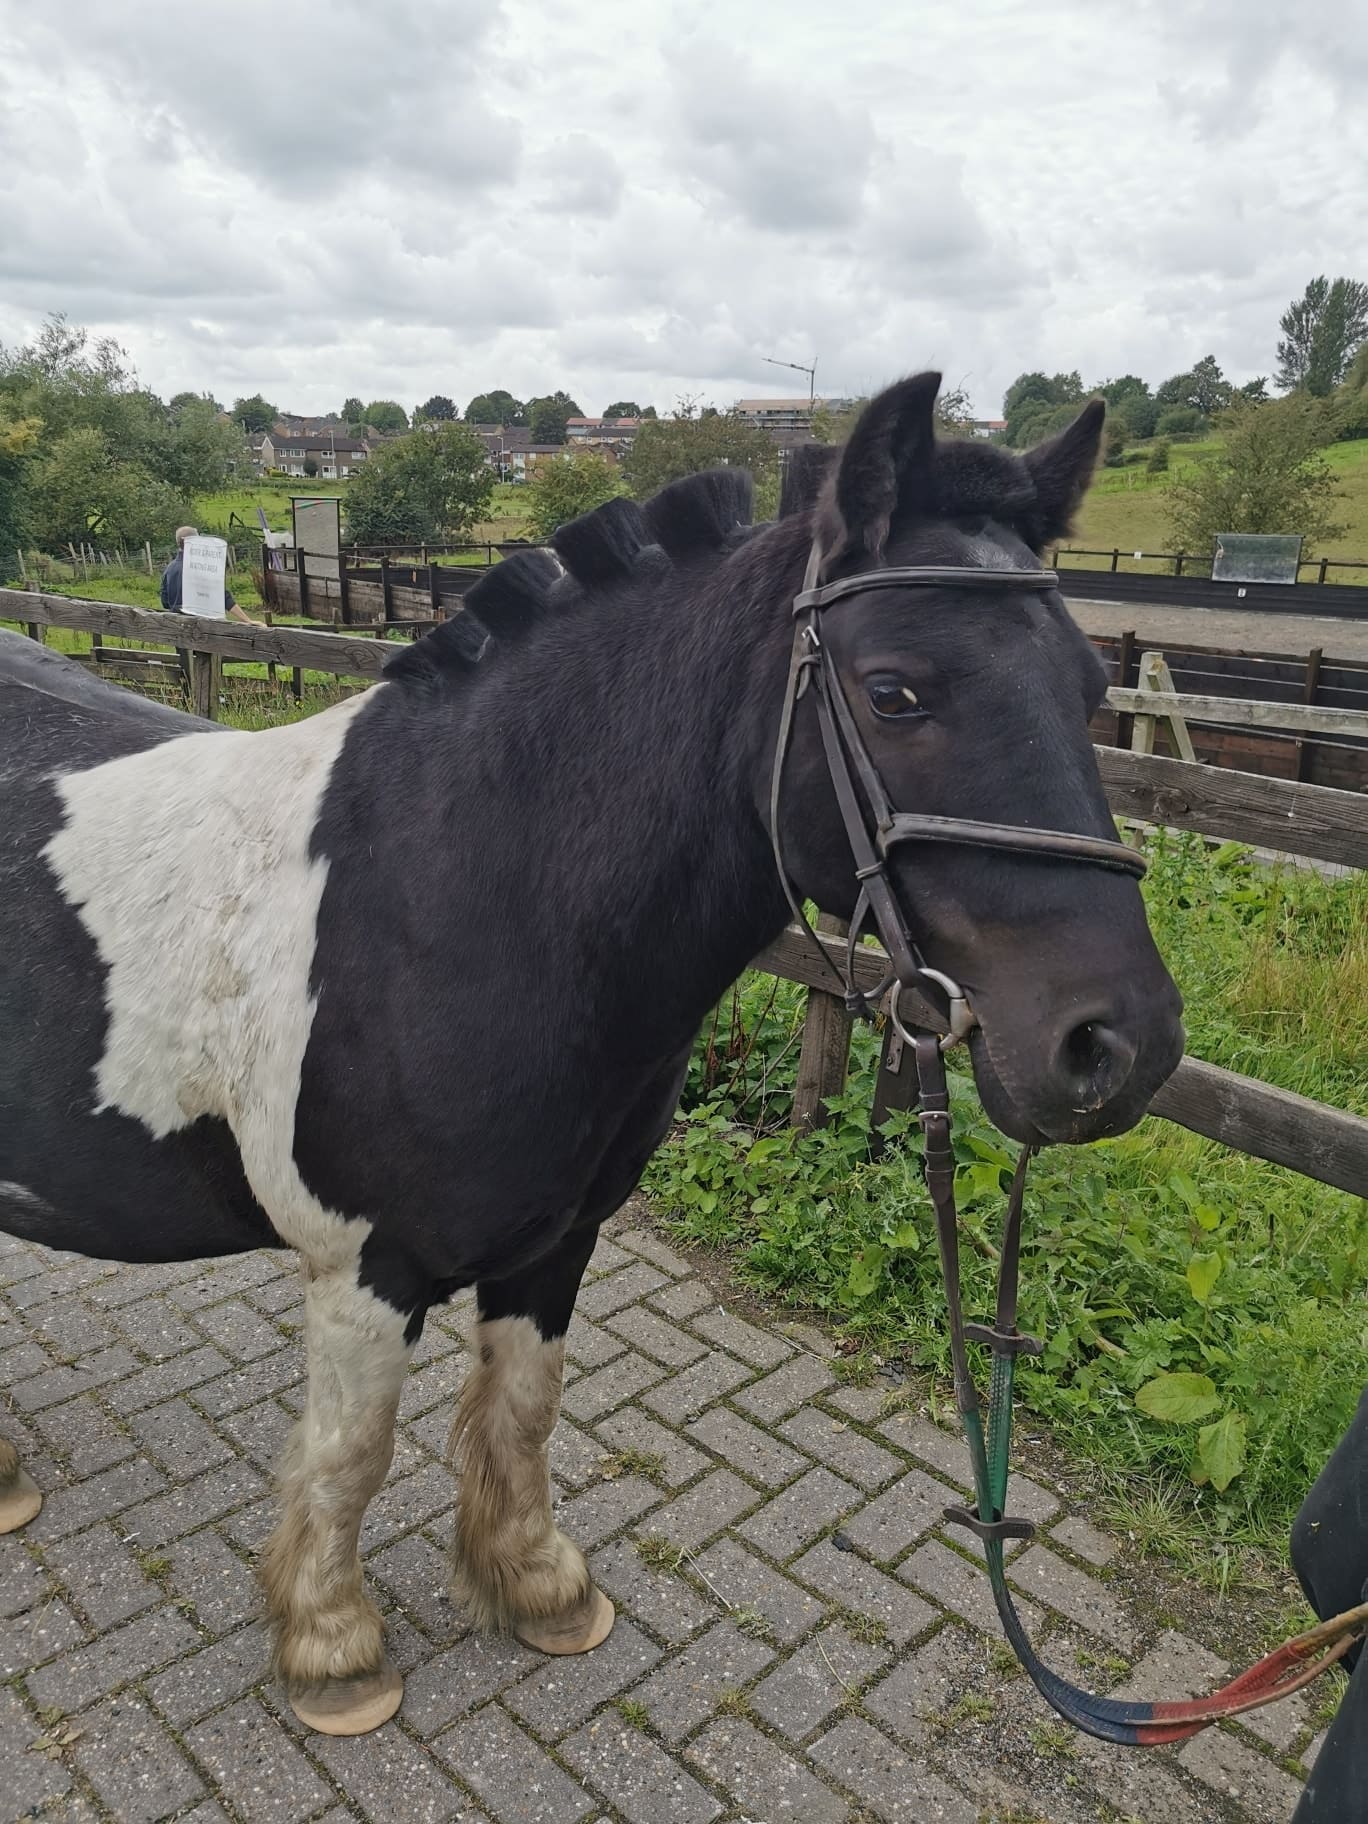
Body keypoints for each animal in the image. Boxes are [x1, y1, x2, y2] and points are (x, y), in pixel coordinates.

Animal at [0, 370, 1189, 1736]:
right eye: (895, 690)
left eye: (1092, 692)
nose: (1119, 1045)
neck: (451, 887)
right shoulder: (365, 1268)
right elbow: (350, 1456)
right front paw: (333, 1648)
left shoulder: (557, 1242)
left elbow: (524, 1411)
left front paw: (535, 1585)